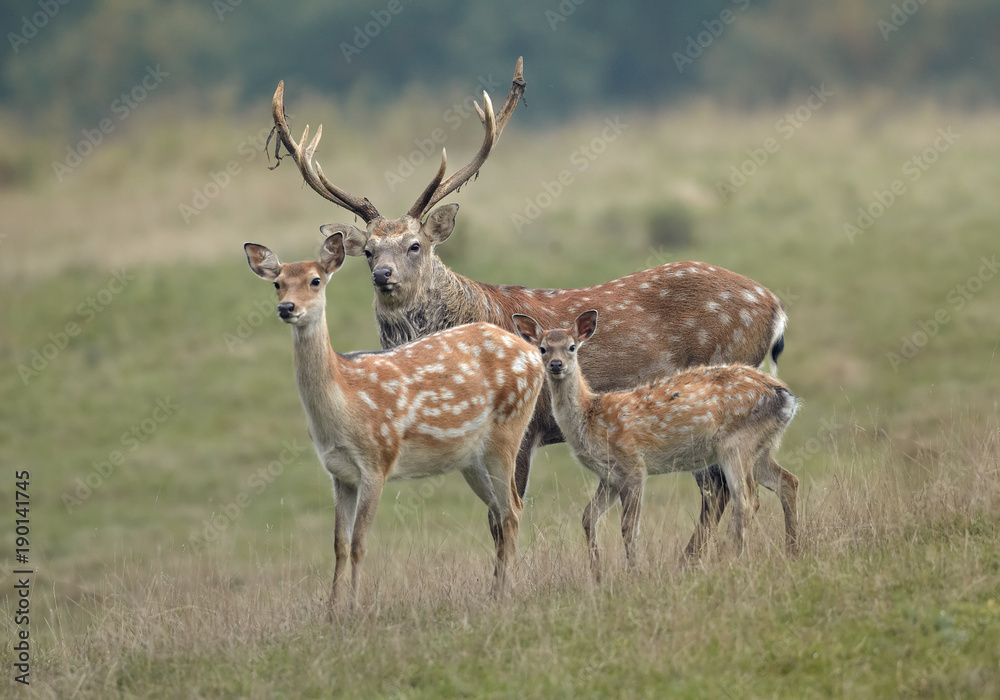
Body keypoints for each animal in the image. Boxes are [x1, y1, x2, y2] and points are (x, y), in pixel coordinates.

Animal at [244, 233, 545, 613]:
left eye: (315, 280)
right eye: (278, 283)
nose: (287, 308)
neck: (344, 403)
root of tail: (534, 355)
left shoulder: (377, 460)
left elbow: (359, 543)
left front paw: (354, 609)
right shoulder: (339, 473)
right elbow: (338, 545)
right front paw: (330, 611)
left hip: (509, 429)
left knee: (512, 510)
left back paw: (505, 594)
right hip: (471, 459)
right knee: (499, 512)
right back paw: (496, 593)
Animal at [266, 57, 789, 559]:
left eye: (415, 245)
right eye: (370, 251)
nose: (383, 276)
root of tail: (774, 306)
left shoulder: (524, 429)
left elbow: (502, 519)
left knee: (721, 490)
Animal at [512, 310, 800, 579]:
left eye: (571, 347)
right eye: (542, 348)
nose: (556, 364)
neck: (591, 416)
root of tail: (786, 396)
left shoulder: (632, 464)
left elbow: (629, 527)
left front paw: (633, 573)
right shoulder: (609, 476)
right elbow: (588, 517)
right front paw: (597, 574)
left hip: (736, 443)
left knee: (747, 499)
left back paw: (732, 559)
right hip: (759, 446)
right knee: (787, 481)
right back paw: (792, 551)